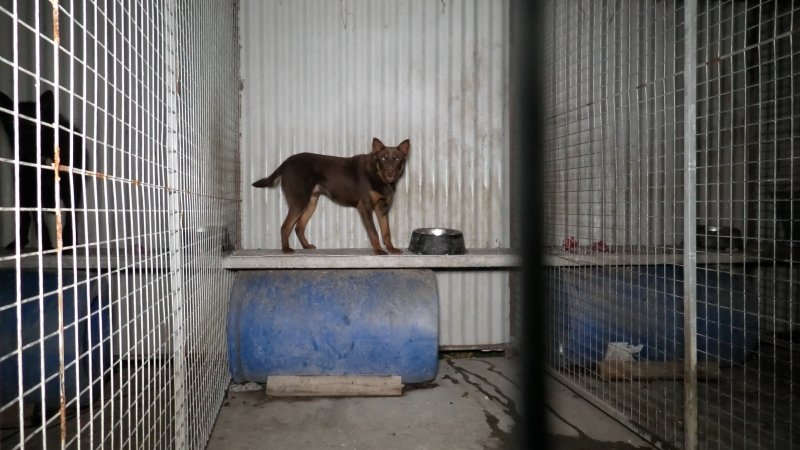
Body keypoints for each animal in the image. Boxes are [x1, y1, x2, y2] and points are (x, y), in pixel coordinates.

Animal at [253, 138, 410, 253]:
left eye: (397, 159)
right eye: (383, 159)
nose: (390, 173)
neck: (377, 175)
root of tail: (286, 163)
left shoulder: (382, 208)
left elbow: (386, 231)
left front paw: (391, 249)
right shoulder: (365, 207)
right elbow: (374, 232)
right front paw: (378, 251)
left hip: (311, 203)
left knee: (299, 227)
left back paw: (306, 246)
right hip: (299, 201)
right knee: (285, 226)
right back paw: (286, 249)